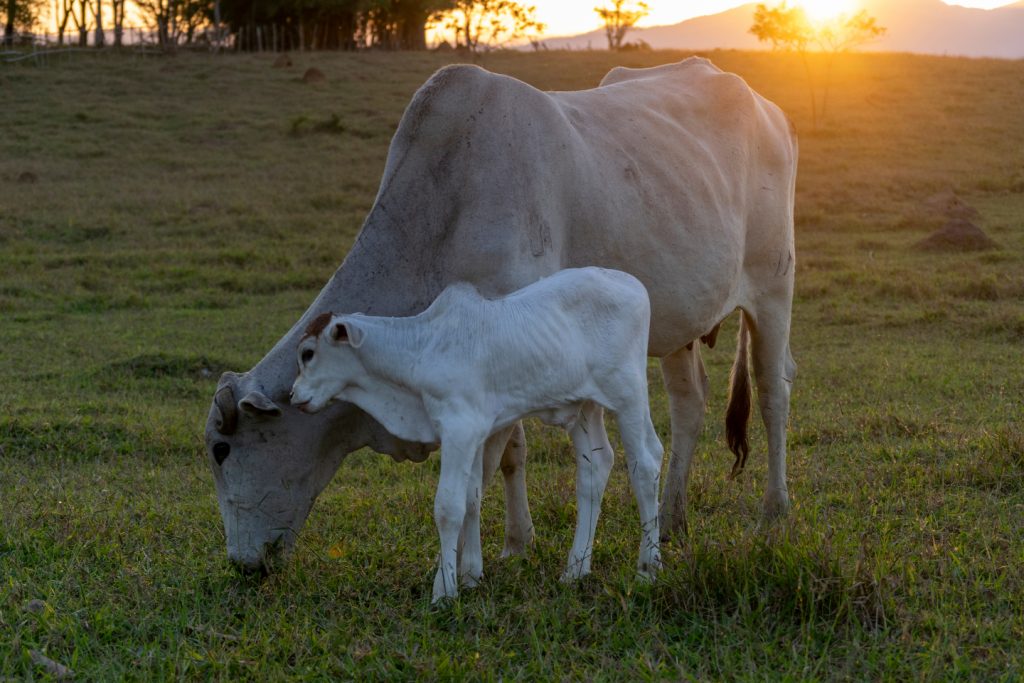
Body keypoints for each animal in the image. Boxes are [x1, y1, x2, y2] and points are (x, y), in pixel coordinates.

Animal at [288, 268, 663, 602]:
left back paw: (648, 568)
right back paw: (575, 570)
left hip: (628, 393)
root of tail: (631, 282)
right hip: (585, 405)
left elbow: (449, 506)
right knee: (594, 468)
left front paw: (444, 590)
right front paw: (470, 575)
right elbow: (472, 496)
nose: (293, 396)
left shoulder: (459, 429)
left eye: (308, 353)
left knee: (646, 463)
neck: (422, 349)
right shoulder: (476, 433)